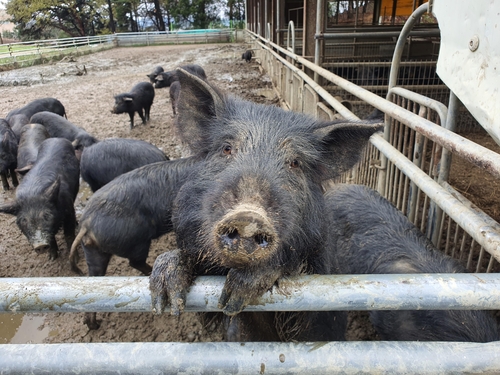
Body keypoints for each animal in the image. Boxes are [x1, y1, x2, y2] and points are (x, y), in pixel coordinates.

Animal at [149, 69, 382, 334]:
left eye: (295, 163)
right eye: (226, 149)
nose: (248, 216)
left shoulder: (320, 292)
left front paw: (236, 293)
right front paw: (164, 299)